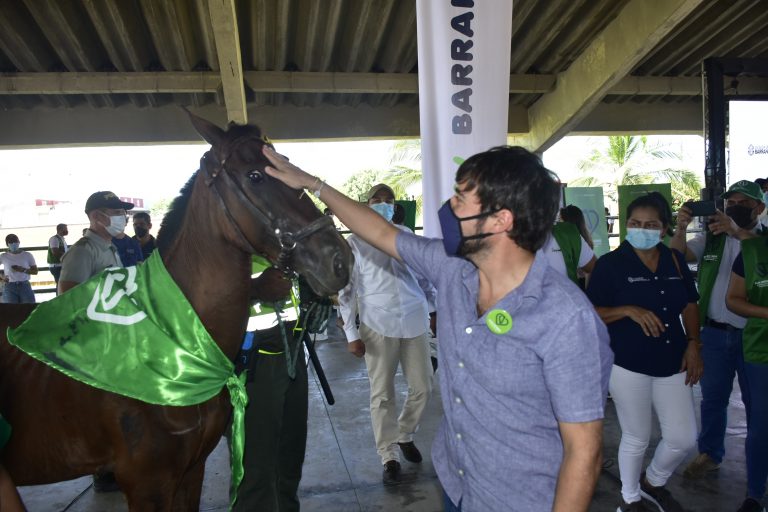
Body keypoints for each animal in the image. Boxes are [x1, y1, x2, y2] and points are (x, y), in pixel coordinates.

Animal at [0, 114, 352, 510]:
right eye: (255, 176)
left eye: (288, 165)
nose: (340, 260)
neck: (169, 339)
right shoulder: (147, 484)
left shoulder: (191, 471)